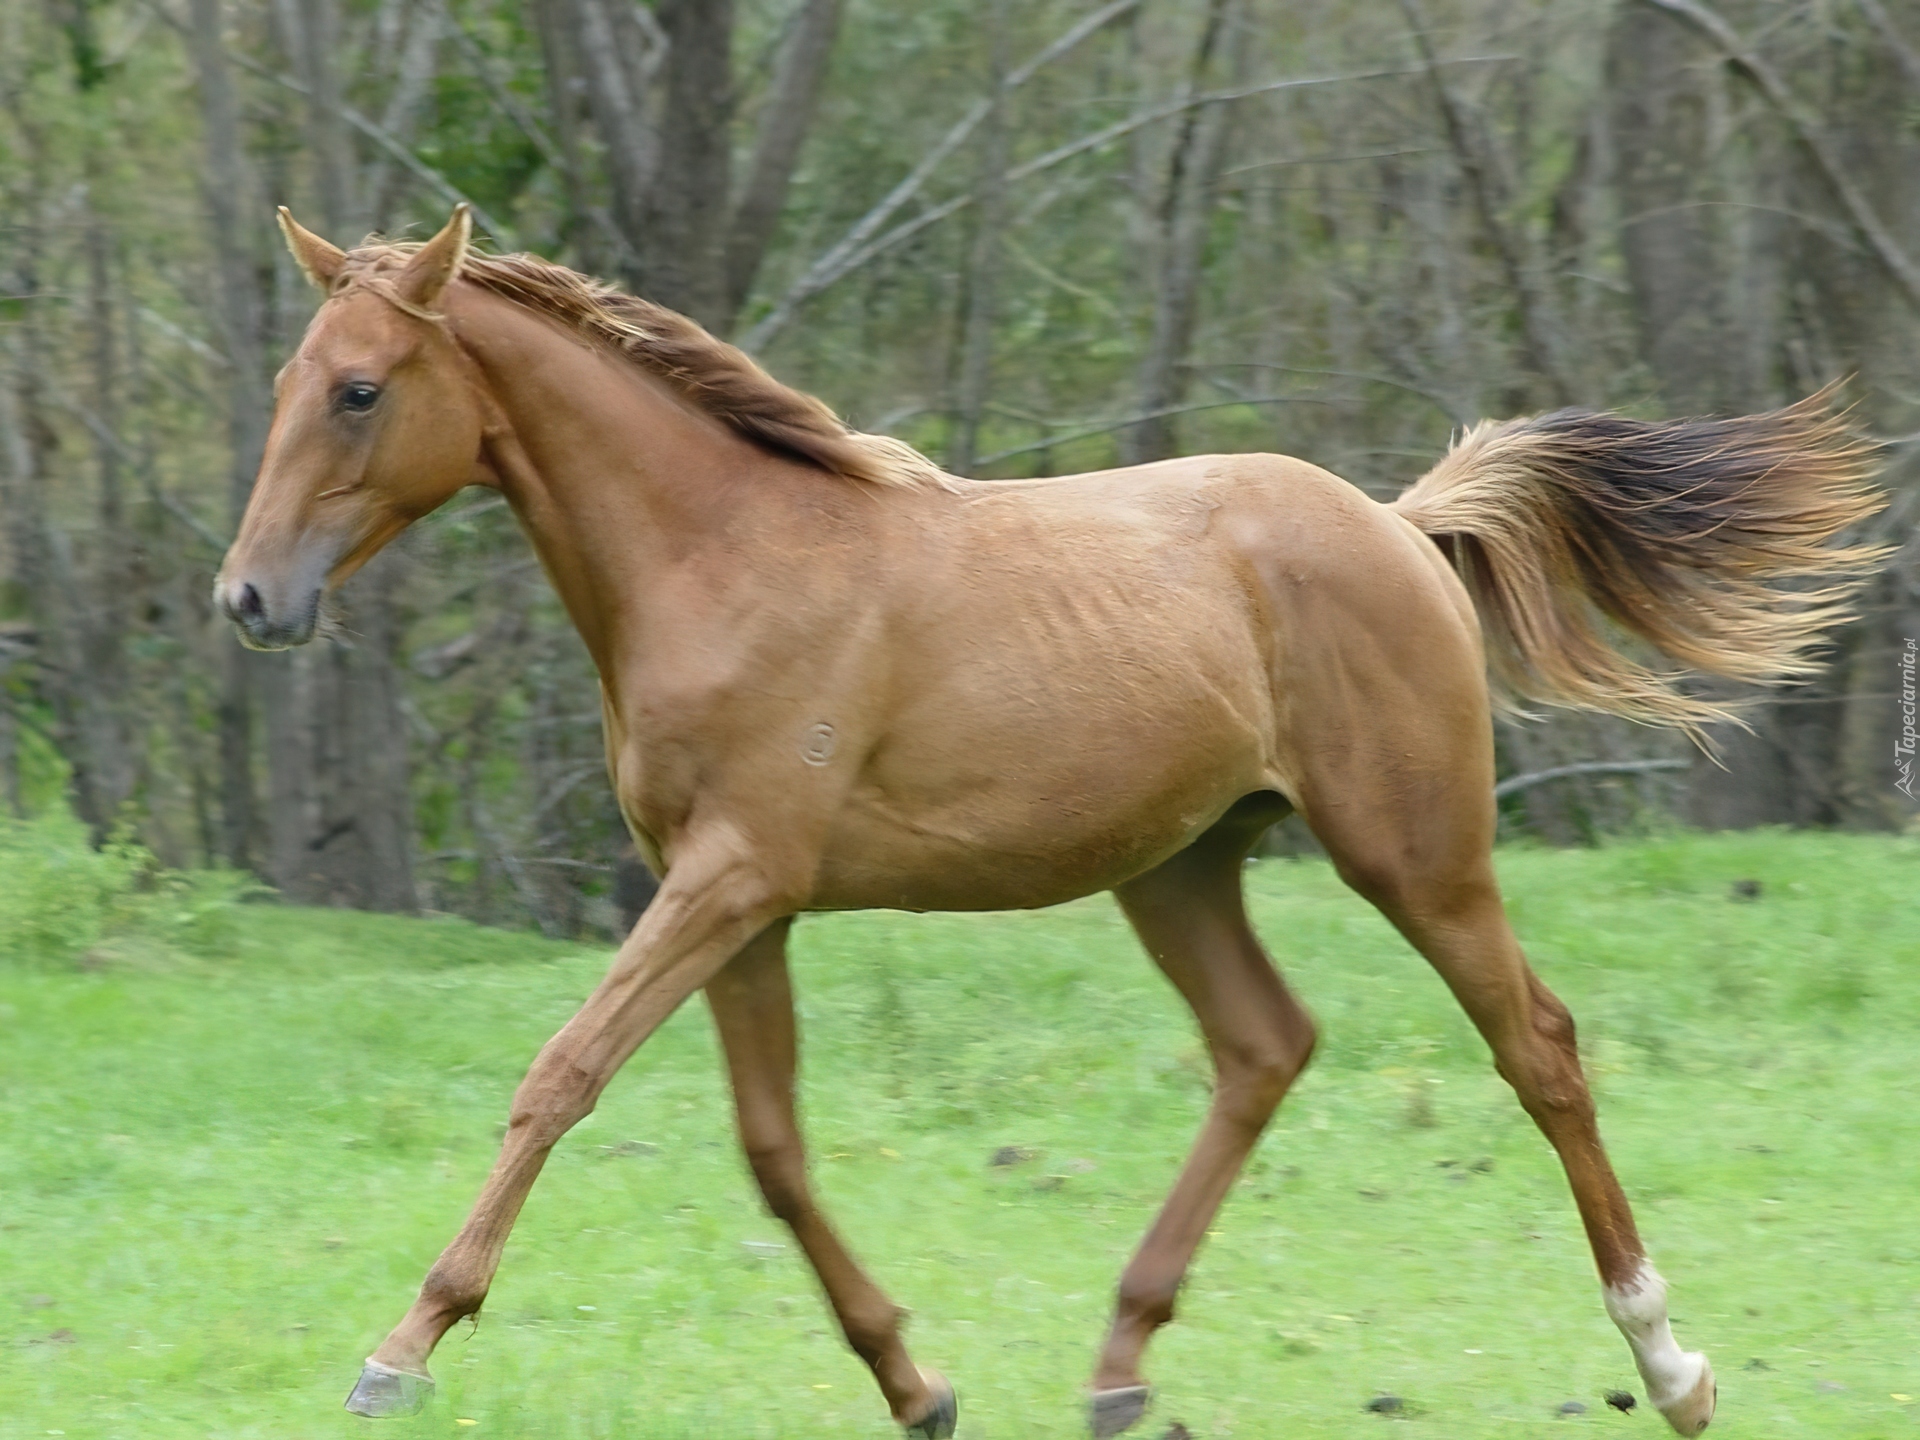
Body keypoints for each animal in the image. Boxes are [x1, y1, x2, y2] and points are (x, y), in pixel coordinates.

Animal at [216, 203, 1881, 1438]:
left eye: (360, 390)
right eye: (288, 381)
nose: (249, 600)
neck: (724, 559)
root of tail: (1402, 528)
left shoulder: (730, 880)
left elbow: (558, 1079)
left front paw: (401, 1350)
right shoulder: (736, 902)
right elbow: (772, 1150)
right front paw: (917, 1384)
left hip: (1416, 855)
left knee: (1536, 1047)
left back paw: (1672, 1365)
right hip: (1186, 868)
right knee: (1265, 1046)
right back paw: (1121, 1366)